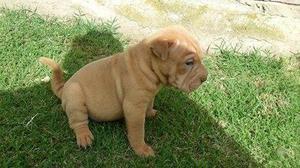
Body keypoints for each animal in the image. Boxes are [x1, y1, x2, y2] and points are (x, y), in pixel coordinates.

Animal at [39, 25, 206, 157]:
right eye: (189, 63)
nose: (205, 78)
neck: (148, 65)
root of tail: (64, 89)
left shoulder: (148, 95)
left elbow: (150, 104)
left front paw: (150, 113)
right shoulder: (134, 107)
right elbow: (138, 131)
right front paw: (142, 150)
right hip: (75, 97)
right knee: (78, 122)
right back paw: (84, 137)